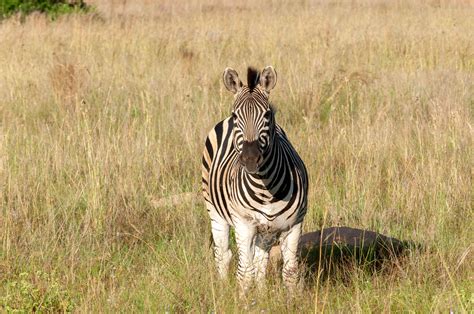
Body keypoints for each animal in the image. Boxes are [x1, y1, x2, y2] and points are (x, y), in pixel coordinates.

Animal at [202, 67, 310, 292]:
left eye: (267, 114)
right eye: (236, 115)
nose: (250, 158)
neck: (265, 189)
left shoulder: (294, 225)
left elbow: (290, 273)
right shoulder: (243, 224)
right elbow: (245, 274)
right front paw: (243, 299)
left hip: (266, 231)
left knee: (260, 261)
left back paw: (260, 294)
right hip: (215, 212)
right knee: (223, 255)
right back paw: (223, 289)